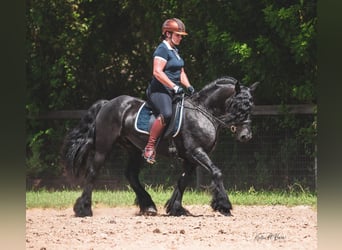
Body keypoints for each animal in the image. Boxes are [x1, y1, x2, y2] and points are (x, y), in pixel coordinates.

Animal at [62, 75, 260, 217]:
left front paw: (176, 208)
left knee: (131, 175)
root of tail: (108, 103)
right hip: (104, 147)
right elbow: (216, 172)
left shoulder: (190, 158)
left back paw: (148, 206)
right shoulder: (196, 152)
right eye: (238, 106)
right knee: (93, 172)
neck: (203, 112)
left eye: (250, 106)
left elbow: (182, 181)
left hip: (134, 149)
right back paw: (84, 209)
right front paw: (224, 206)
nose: (246, 136)